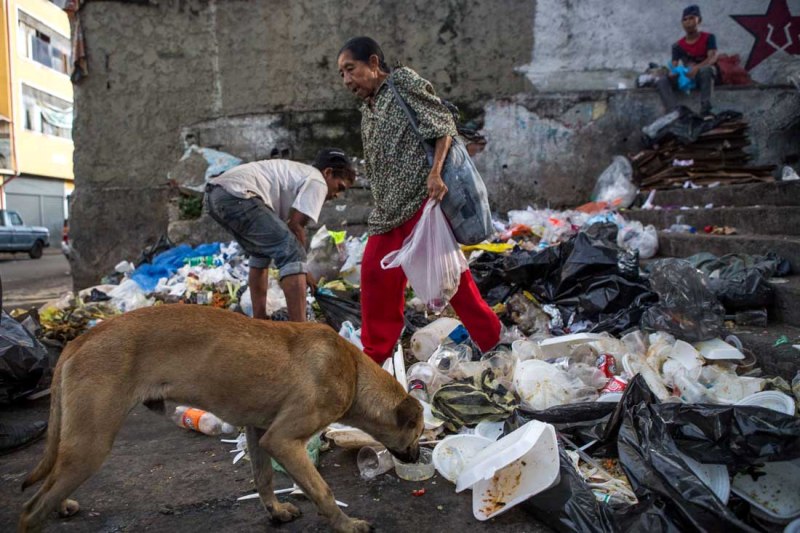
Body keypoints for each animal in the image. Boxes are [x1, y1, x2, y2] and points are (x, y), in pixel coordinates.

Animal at [18, 304, 422, 532]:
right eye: (417, 433)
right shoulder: (283, 440)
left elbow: (263, 478)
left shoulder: (260, 432)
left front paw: (275, 512)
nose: (418, 457)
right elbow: (322, 489)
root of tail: (79, 339)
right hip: (93, 444)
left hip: (78, 443)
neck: (352, 371)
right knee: (30, 510)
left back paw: (62, 506)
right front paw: (347, 525)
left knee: (47, 488)